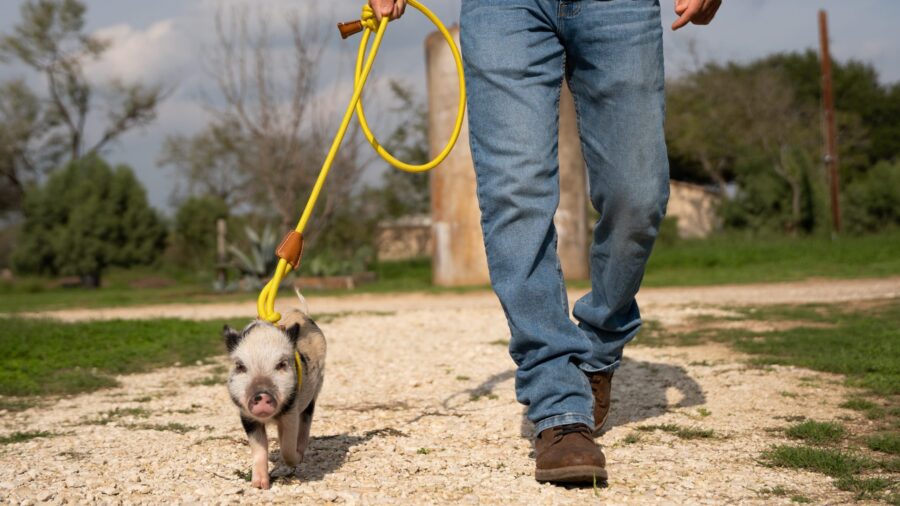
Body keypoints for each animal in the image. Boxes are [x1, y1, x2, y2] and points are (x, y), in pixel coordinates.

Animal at [223, 302, 326, 489]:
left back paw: (300, 453)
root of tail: (299, 311)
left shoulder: (291, 410)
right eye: (240, 366)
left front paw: (296, 459)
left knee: (306, 421)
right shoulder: (247, 416)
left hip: (314, 393)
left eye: (282, 364)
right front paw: (259, 485)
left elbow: (287, 447)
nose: (261, 394)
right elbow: (258, 448)